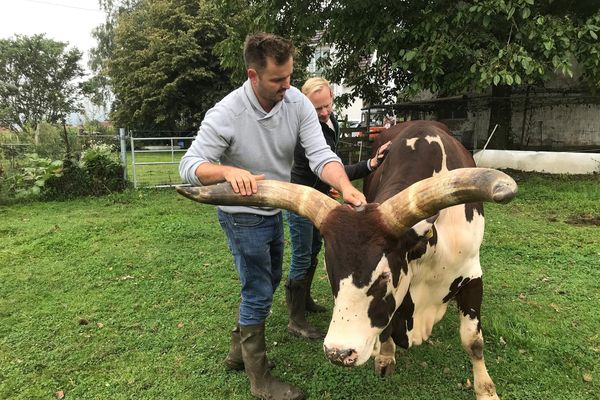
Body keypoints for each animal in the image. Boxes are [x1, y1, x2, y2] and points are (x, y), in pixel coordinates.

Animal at [176, 120, 516, 398]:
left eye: (383, 277)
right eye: (332, 274)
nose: (339, 353)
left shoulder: (472, 275)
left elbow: (473, 341)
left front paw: (487, 391)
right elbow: (388, 328)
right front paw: (385, 356)